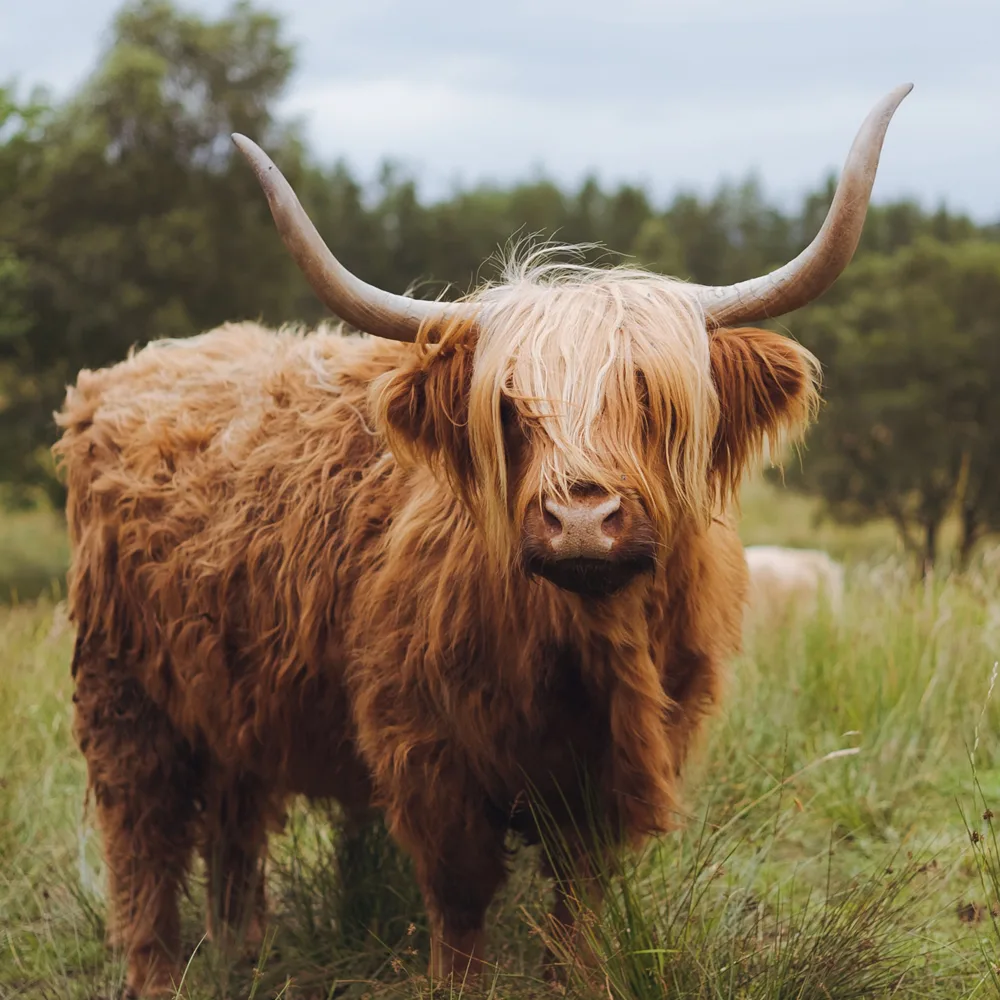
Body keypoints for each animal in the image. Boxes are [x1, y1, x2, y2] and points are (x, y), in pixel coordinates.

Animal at [58, 86, 912, 992]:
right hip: (124, 692)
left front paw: (576, 977)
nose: (581, 519)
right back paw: (157, 974)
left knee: (235, 817)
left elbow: (578, 904)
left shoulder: (611, 777)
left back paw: (241, 952)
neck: (585, 651)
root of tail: (134, 368)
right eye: (508, 407)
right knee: (141, 837)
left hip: (230, 695)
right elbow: (460, 901)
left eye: (651, 398)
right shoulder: (429, 755)